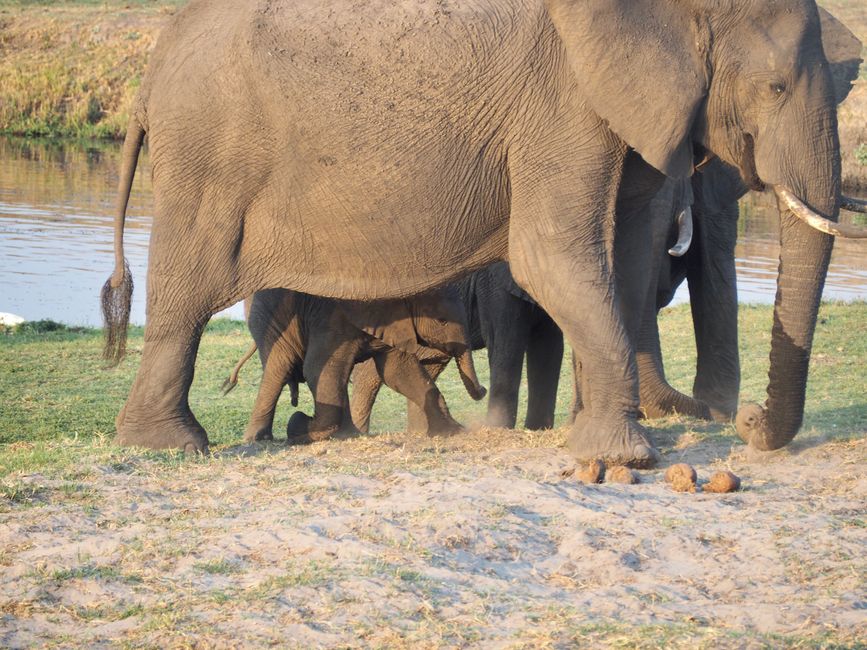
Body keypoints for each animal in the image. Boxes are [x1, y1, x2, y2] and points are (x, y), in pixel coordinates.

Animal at [227, 288, 484, 442]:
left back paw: (348, 434)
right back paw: (257, 439)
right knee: (279, 368)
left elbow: (398, 372)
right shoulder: (333, 318)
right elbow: (317, 368)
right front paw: (298, 426)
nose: (483, 390)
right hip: (270, 319)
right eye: (442, 321)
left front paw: (453, 431)